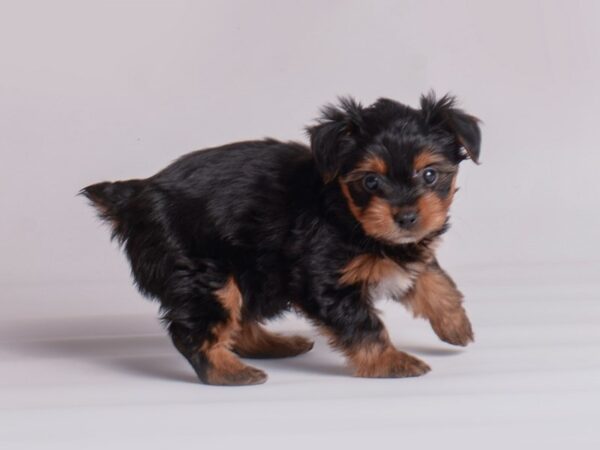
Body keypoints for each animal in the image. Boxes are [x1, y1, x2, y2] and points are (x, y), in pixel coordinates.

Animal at [81, 93, 482, 384]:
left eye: (429, 175)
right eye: (370, 181)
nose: (406, 216)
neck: (345, 210)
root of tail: (136, 195)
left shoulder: (403, 252)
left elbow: (434, 279)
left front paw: (456, 326)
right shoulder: (323, 278)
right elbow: (363, 324)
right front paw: (391, 361)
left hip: (250, 270)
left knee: (238, 317)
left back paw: (270, 345)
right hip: (202, 272)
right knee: (195, 328)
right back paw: (229, 373)